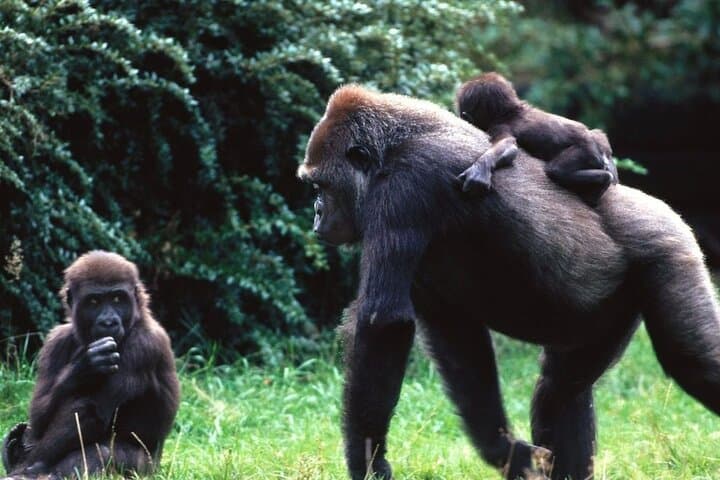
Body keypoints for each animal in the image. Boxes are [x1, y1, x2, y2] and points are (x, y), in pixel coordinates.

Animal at [2, 251, 180, 479]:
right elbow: (40, 415)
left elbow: (92, 411)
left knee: (101, 451)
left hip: (147, 470)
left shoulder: (144, 344)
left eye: (117, 298)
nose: (108, 322)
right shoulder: (56, 340)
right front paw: (84, 367)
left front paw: (26, 468)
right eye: (94, 301)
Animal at [456, 72, 618, 205]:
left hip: (587, 150)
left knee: (556, 170)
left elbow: (507, 145)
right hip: (598, 142)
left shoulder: (499, 126)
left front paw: (480, 169)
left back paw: (603, 181)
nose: (463, 117)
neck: (511, 111)